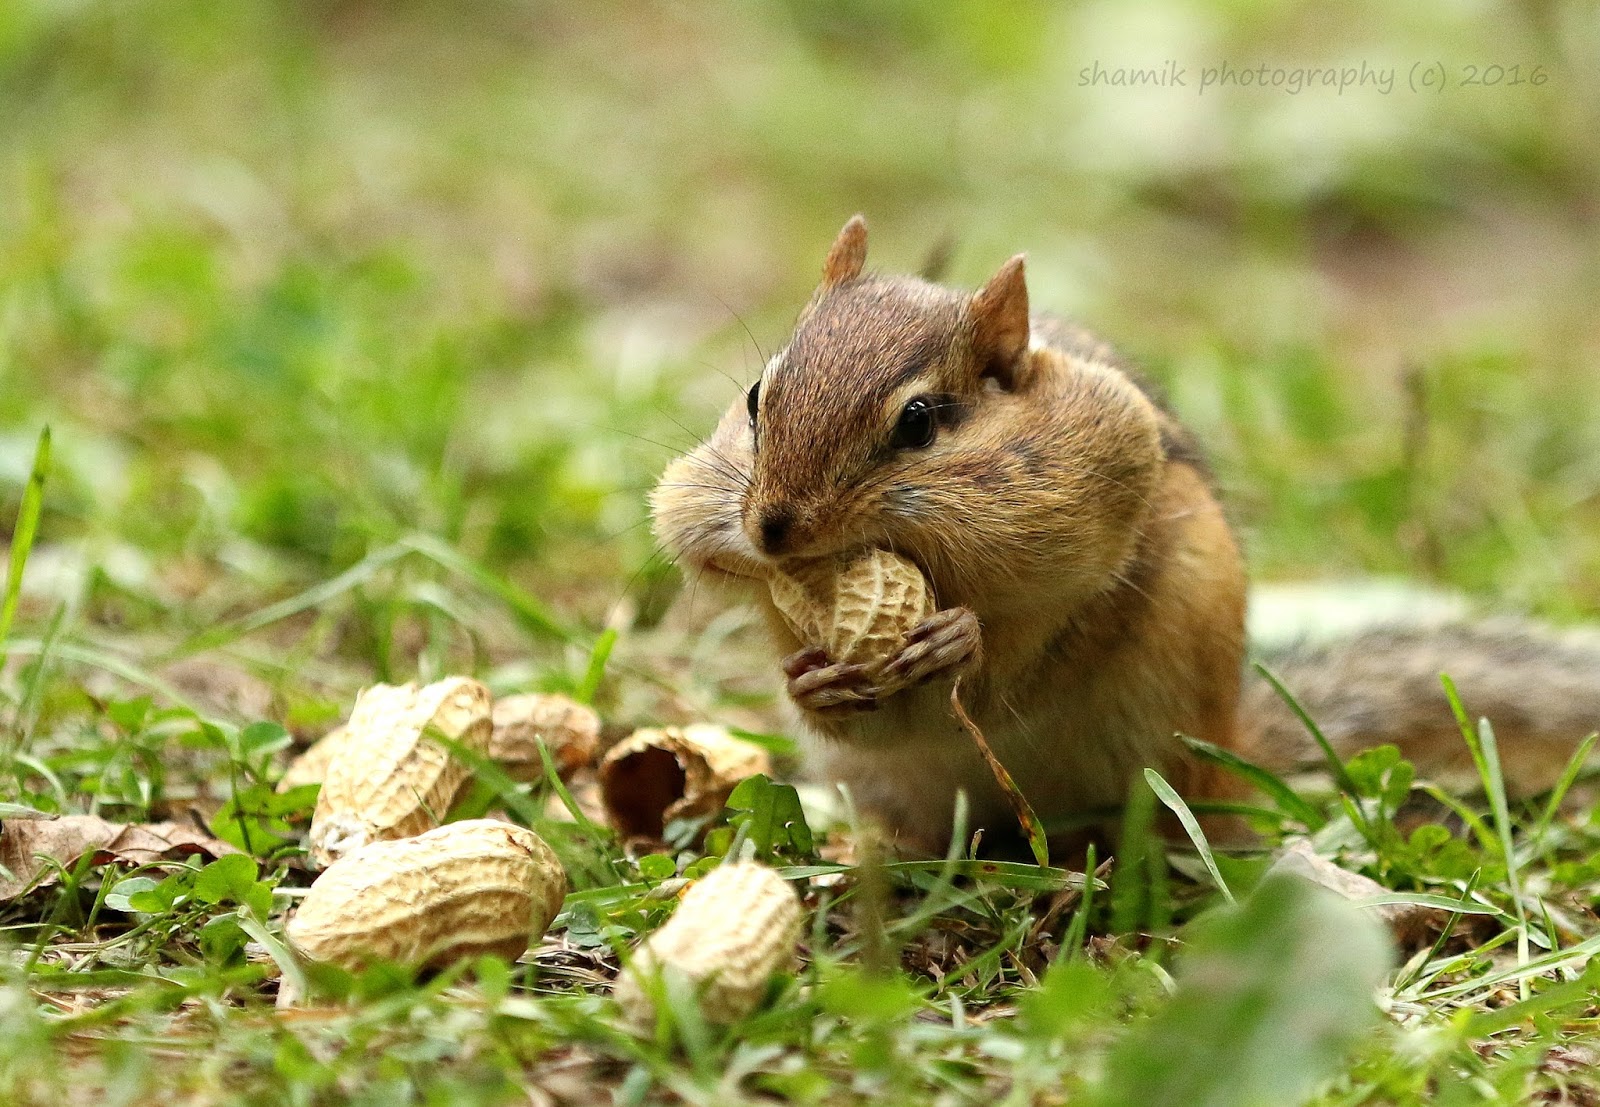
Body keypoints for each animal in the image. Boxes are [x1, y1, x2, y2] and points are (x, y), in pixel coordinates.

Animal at [651, 215, 1600, 855]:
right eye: (756, 399)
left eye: (918, 421)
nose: (773, 529)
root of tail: (1231, 747)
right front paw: (810, 679)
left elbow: (1041, 645)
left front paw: (962, 640)